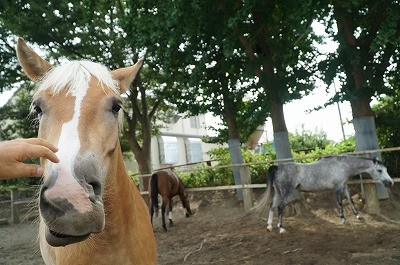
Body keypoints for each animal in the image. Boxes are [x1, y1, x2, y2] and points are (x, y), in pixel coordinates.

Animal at [253, 156, 394, 232]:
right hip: (286, 192)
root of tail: (277, 167)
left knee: (272, 206)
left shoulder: (344, 186)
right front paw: (344, 219)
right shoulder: (338, 188)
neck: (342, 166)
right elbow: (340, 203)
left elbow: (350, 200)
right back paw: (281, 228)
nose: (390, 183)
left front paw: (359, 216)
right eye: (379, 170)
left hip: (278, 192)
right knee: (280, 206)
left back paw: (269, 226)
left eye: (386, 169)